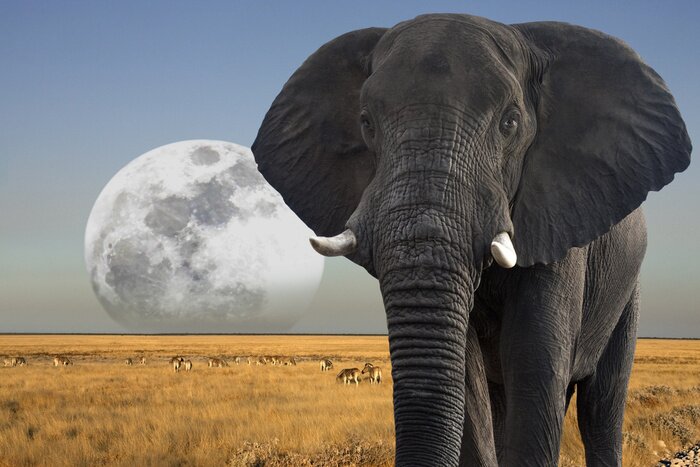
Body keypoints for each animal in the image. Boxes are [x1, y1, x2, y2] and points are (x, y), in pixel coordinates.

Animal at [252, 14, 691, 466]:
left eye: (510, 123)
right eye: (366, 123)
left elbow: (536, 361)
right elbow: (467, 374)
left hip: (626, 292)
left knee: (600, 407)